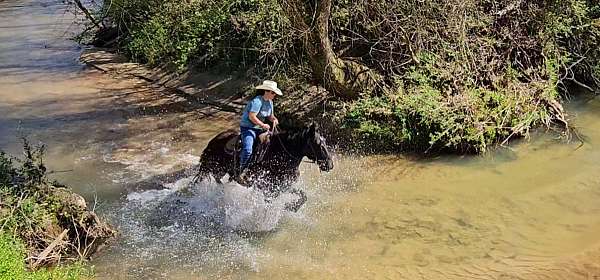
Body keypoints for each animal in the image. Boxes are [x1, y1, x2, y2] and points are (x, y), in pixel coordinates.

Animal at [195, 123, 332, 211]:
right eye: (319, 144)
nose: (330, 164)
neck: (280, 155)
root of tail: (213, 140)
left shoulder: (282, 185)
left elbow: (303, 196)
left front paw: (291, 207)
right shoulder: (267, 186)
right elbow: (269, 200)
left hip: (220, 170)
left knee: (218, 179)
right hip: (212, 167)